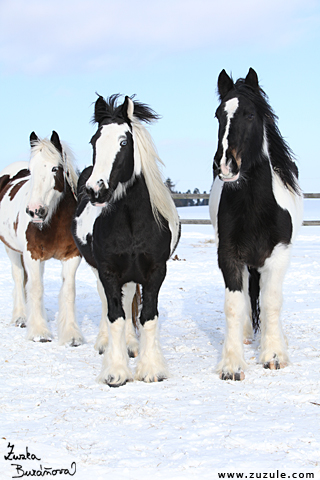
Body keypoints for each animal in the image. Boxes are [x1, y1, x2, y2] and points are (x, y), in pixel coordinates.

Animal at [0, 129, 84, 344]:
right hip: (12, 249)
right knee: (19, 277)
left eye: (55, 168)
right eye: (31, 170)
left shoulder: (71, 257)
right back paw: (21, 317)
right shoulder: (32, 255)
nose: (35, 211)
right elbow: (35, 289)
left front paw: (71, 335)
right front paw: (39, 332)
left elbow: (68, 292)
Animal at [72, 93, 180, 386]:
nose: (95, 190)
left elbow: (148, 317)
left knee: (129, 295)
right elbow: (115, 316)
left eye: (124, 142)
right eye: (94, 141)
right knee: (105, 301)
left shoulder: (156, 271)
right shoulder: (108, 271)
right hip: (99, 269)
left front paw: (151, 369)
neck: (132, 223)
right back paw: (105, 343)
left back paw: (132, 344)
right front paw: (116, 371)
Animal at [209, 68, 304, 382]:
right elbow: (233, 305)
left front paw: (274, 355)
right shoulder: (229, 257)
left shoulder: (278, 256)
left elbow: (272, 300)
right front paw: (232, 364)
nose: (225, 165)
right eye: (218, 115)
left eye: (250, 115)